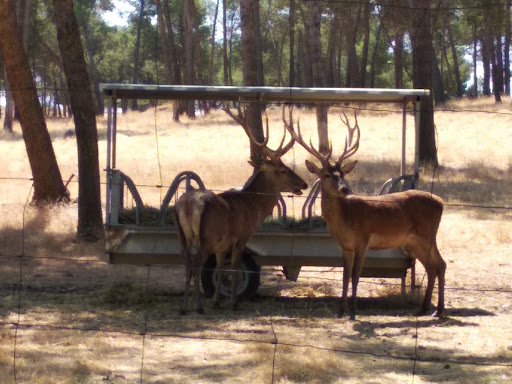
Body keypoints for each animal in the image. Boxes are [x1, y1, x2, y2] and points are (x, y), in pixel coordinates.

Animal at [175, 109, 308, 314]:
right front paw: (233, 303)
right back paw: (197, 306)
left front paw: (216, 302)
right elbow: (235, 269)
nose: (304, 184)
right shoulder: (242, 237)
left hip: (182, 235)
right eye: (283, 170)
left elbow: (220, 268)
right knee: (196, 264)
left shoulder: (221, 245)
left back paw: (183, 307)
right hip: (206, 236)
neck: (253, 206)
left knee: (187, 263)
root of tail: (188, 205)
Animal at [286, 106, 446, 320]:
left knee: (441, 264)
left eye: (342, 174)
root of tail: (441, 202)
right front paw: (341, 311)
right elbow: (345, 275)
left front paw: (354, 312)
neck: (345, 220)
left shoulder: (363, 239)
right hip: (414, 240)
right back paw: (424, 309)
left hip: (428, 234)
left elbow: (355, 275)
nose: (345, 189)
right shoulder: (344, 246)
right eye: (326, 175)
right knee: (432, 267)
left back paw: (439, 310)